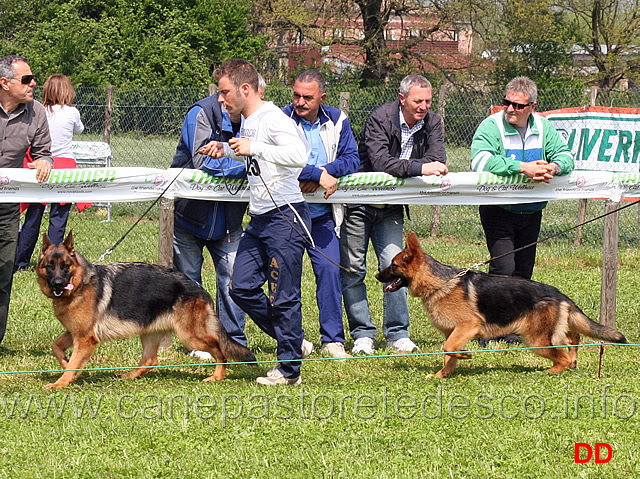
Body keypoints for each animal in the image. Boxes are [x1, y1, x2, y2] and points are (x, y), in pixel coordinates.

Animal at [37, 232, 255, 390]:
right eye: (49, 266)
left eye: (66, 266)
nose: (58, 284)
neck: (81, 283)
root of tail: (199, 289)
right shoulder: (75, 332)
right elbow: (57, 347)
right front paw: (67, 366)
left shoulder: (85, 339)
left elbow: (74, 361)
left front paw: (61, 382)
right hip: (150, 331)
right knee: (150, 360)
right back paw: (128, 375)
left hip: (190, 336)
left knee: (220, 350)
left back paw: (217, 376)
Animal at [376, 232, 624, 378]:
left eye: (393, 266)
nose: (377, 276)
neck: (440, 283)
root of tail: (559, 294)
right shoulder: (453, 332)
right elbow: (449, 351)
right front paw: (442, 374)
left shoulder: (468, 326)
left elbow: (448, 348)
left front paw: (463, 357)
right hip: (548, 334)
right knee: (573, 338)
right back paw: (572, 360)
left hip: (535, 340)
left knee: (561, 355)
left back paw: (550, 370)